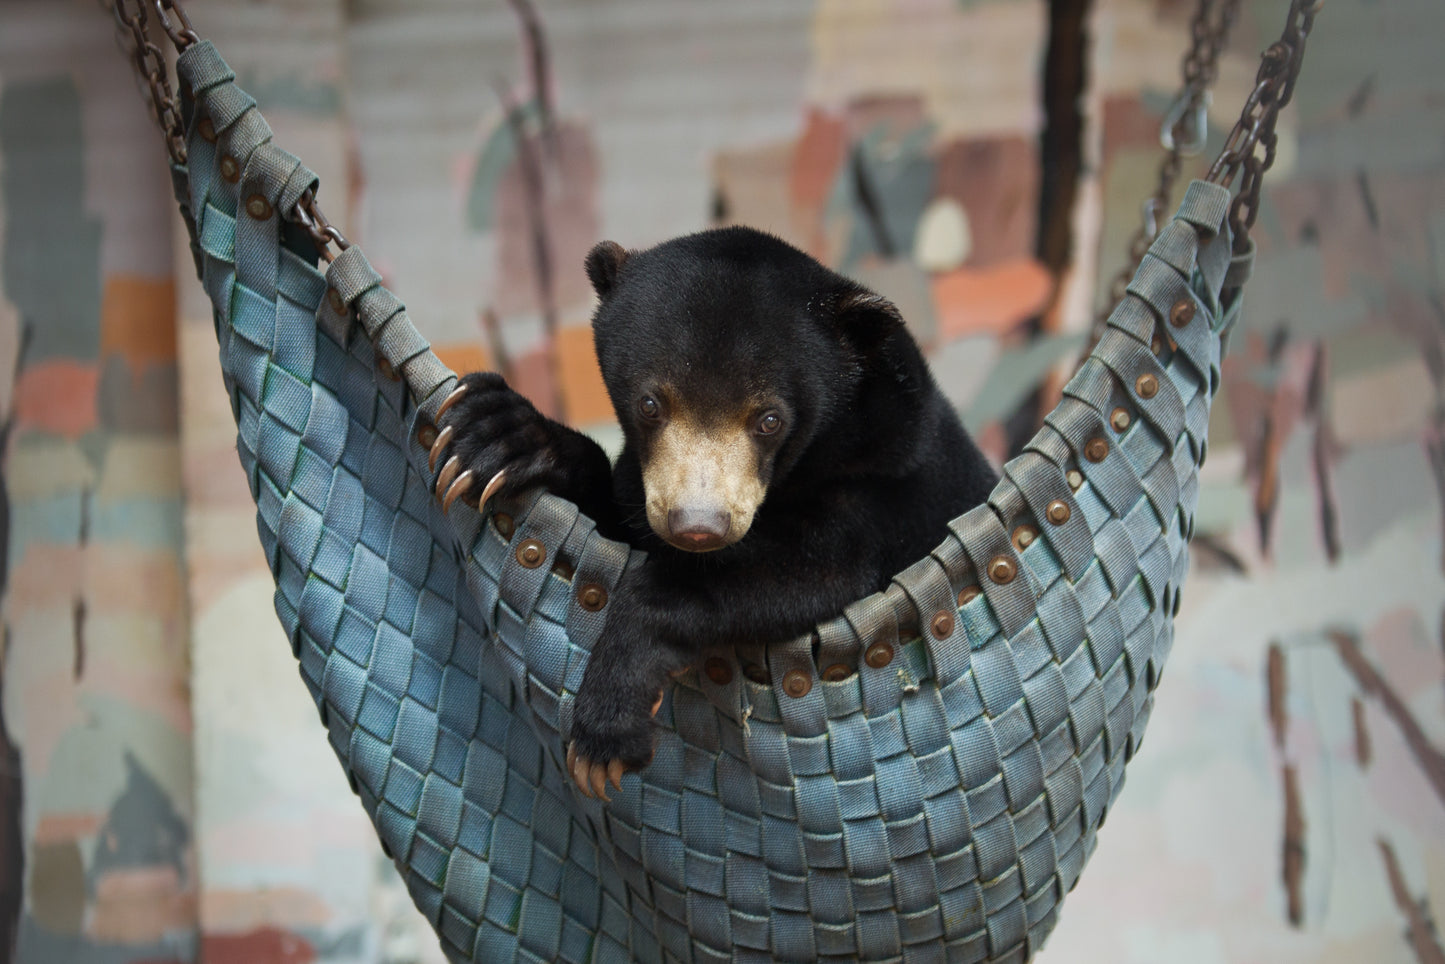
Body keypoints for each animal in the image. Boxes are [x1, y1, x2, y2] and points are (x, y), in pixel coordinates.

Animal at [428, 226, 999, 799]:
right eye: (651, 404)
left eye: (769, 420)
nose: (698, 527)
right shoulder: (639, 488)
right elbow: (614, 513)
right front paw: (496, 433)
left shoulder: (882, 484)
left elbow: (815, 570)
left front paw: (605, 735)